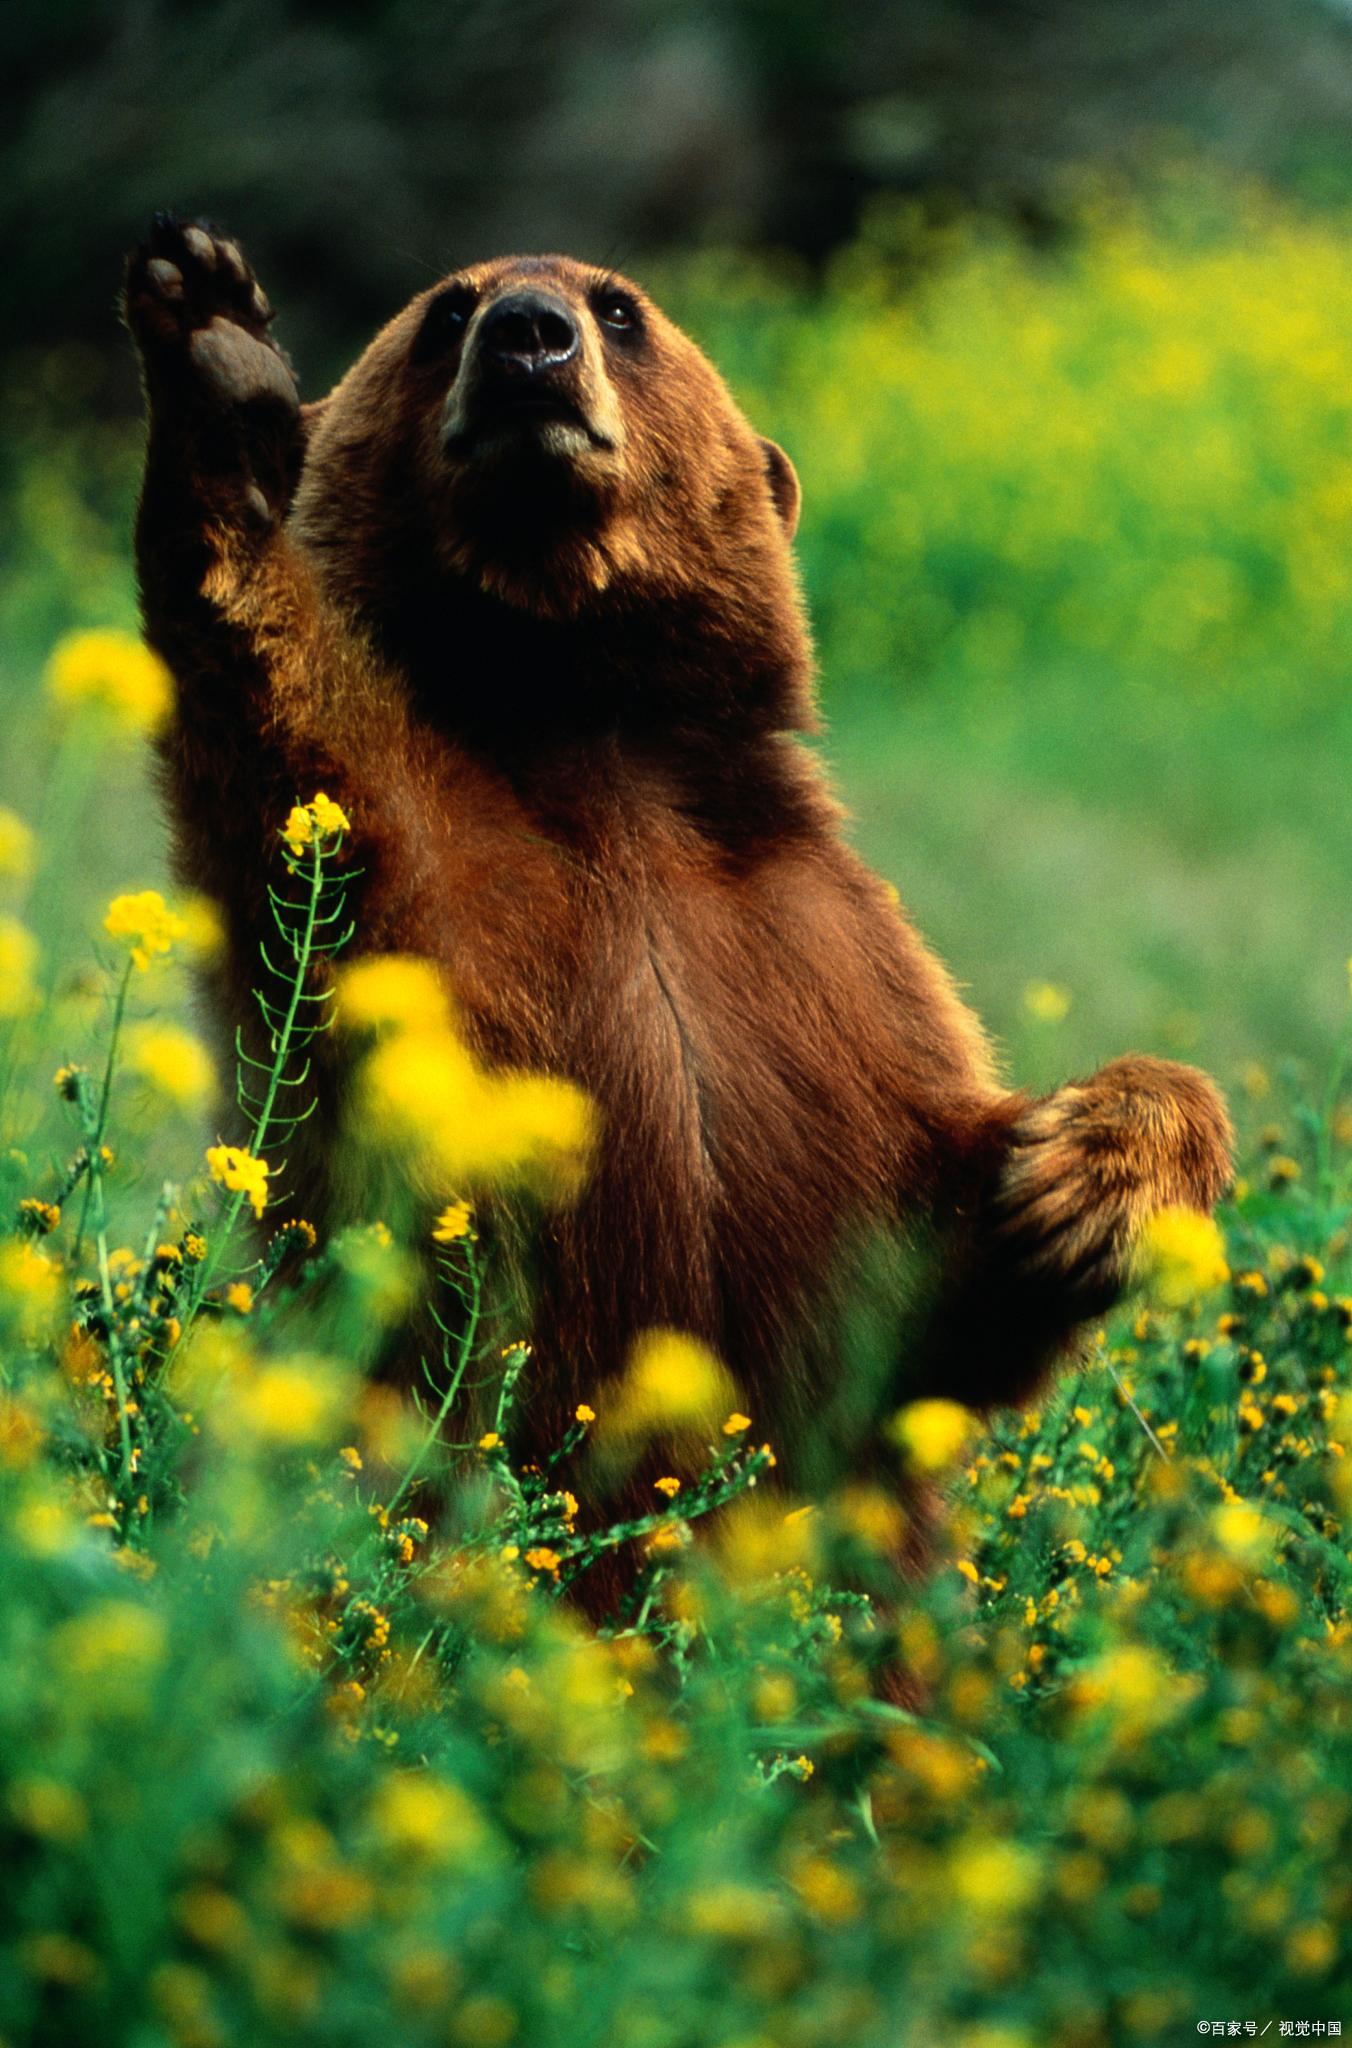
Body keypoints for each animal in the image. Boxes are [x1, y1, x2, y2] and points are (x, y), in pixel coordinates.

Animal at [121, 220, 1229, 1507]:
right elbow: (304, 835)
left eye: (618, 310)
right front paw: (219, 365)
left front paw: (1089, 1173)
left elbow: (932, 1276)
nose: (528, 333)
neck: (583, 717)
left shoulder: (816, 952)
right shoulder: (426, 885)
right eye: (446, 311)